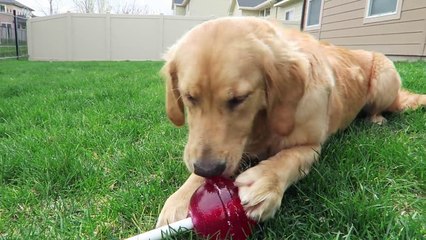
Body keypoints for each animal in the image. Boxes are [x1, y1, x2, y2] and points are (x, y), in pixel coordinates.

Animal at [156, 17, 426, 227]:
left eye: (239, 99)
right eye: (189, 97)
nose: (207, 168)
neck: (262, 123)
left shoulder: (311, 145)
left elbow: (289, 157)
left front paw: (264, 181)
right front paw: (181, 197)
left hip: (385, 79)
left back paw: (376, 119)